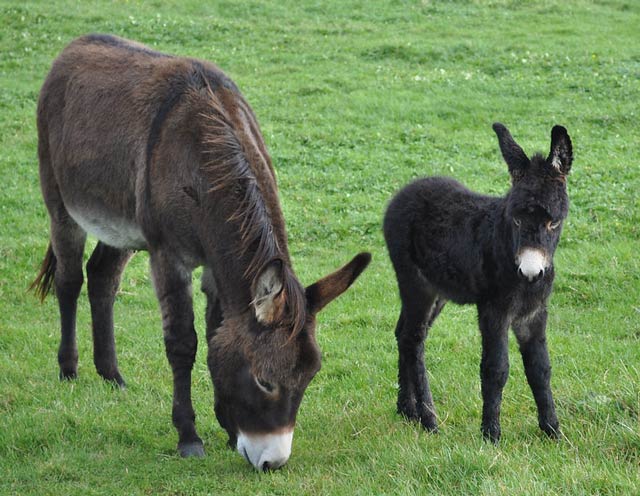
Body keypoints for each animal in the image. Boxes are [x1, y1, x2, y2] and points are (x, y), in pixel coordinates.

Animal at [382, 124, 572, 442]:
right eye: (516, 220)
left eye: (553, 223)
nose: (531, 272)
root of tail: (405, 191)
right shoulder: (494, 311)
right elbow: (496, 368)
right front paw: (491, 434)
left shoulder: (533, 314)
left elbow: (540, 369)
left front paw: (552, 431)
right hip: (414, 282)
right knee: (413, 339)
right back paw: (428, 419)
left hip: (438, 290)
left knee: (402, 333)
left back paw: (406, 410)